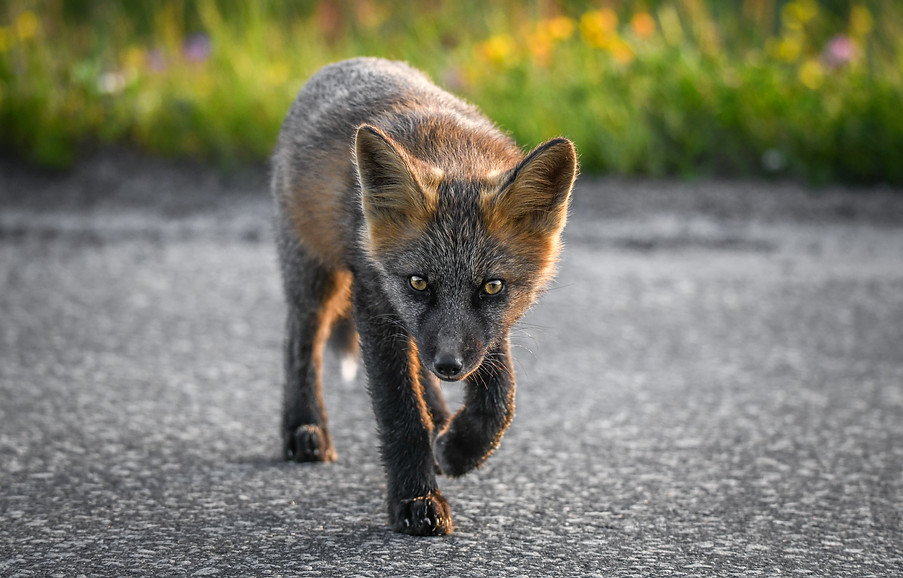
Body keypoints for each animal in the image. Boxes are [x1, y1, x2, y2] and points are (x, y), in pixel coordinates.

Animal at [270, 57, 577, 536]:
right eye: (419, 282)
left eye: (492, 286)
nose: (449, 365)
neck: (451, 151)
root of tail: (348, 62)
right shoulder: (375, 303)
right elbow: (400, 413)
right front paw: (416, 500)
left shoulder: (486, 332)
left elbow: (500, 398)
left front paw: (462, 447)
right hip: (315, 279)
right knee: (300, 344)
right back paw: (304, 428)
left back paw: (442, 425)